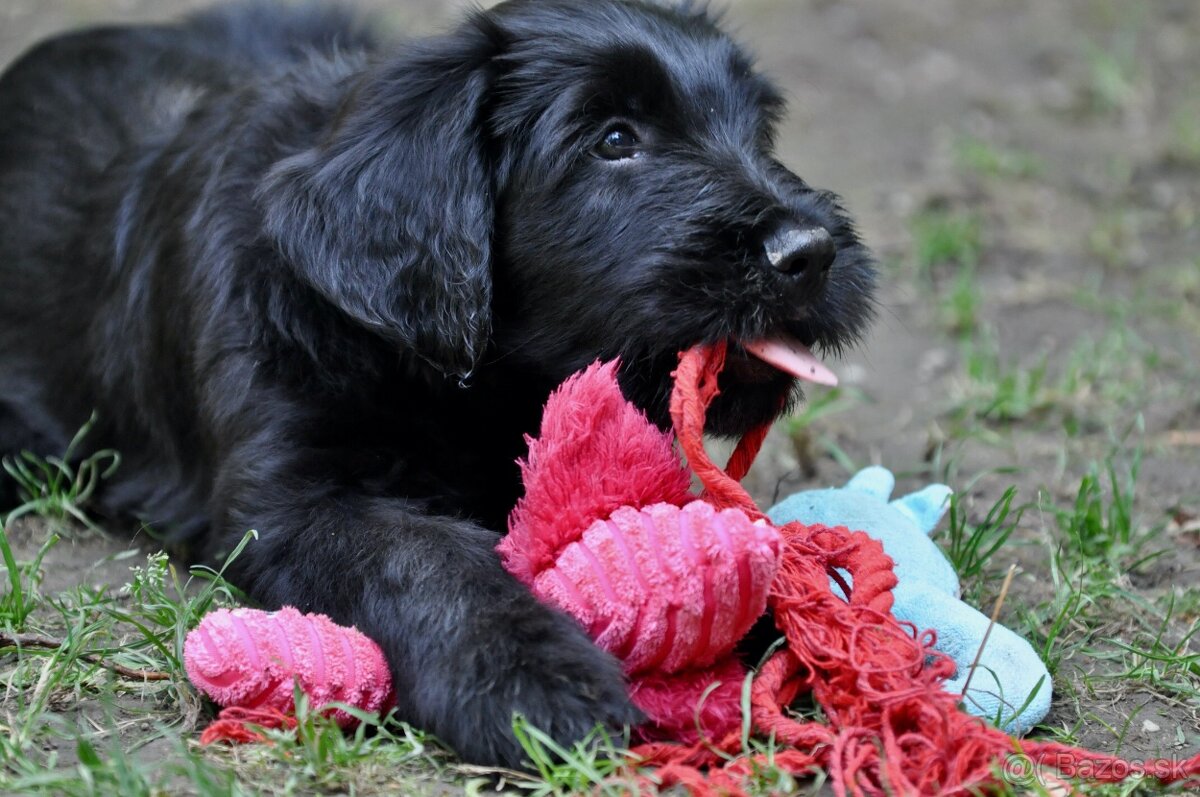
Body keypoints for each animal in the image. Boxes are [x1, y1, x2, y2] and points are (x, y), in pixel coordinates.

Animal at [0, 0, 873, 763]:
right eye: (615, 139)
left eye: (756, 127)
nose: (811, 251)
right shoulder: (288, 503)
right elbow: (421, 555)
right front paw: (528, 672)